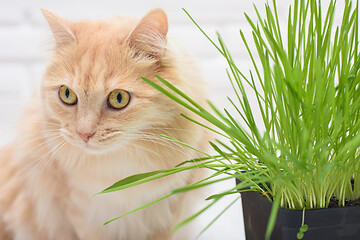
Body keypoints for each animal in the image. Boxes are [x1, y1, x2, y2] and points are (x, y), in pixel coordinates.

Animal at [0, 8, 208, 239]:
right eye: (67, 94)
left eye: (119, 98)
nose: (84, 134)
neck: (121, 168)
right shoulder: (81, 212)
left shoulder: (169, 210)